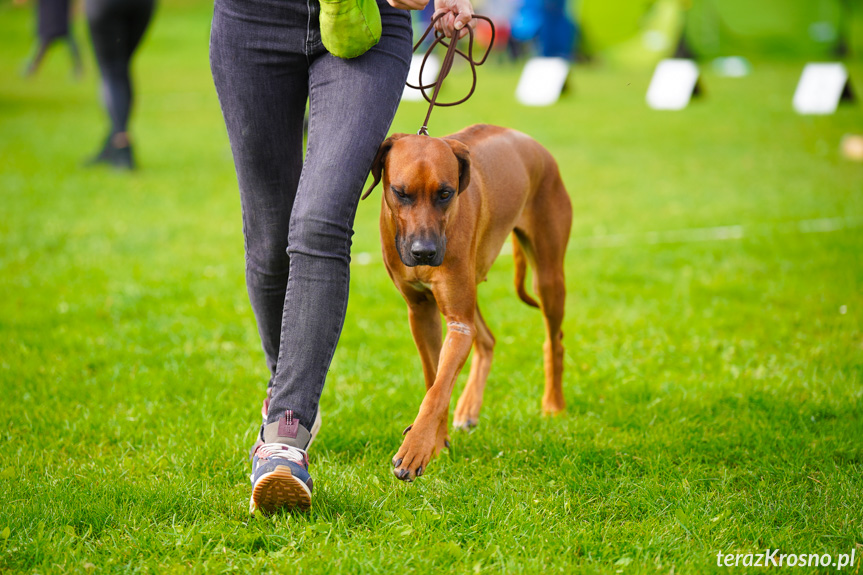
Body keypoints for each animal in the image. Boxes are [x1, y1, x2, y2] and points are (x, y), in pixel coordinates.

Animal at [364, 122, 572, 482]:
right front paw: (436, 442)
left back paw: (553, 405)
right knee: (487, 339)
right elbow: (434, 378)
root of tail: (535, 145)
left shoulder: (458, 323)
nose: (424, 253)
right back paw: (469, 408)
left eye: (445, 193)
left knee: (554, 340)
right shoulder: (421, 312)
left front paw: (416, 448)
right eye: (400, 192)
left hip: (547, 276)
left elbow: (437, 390)